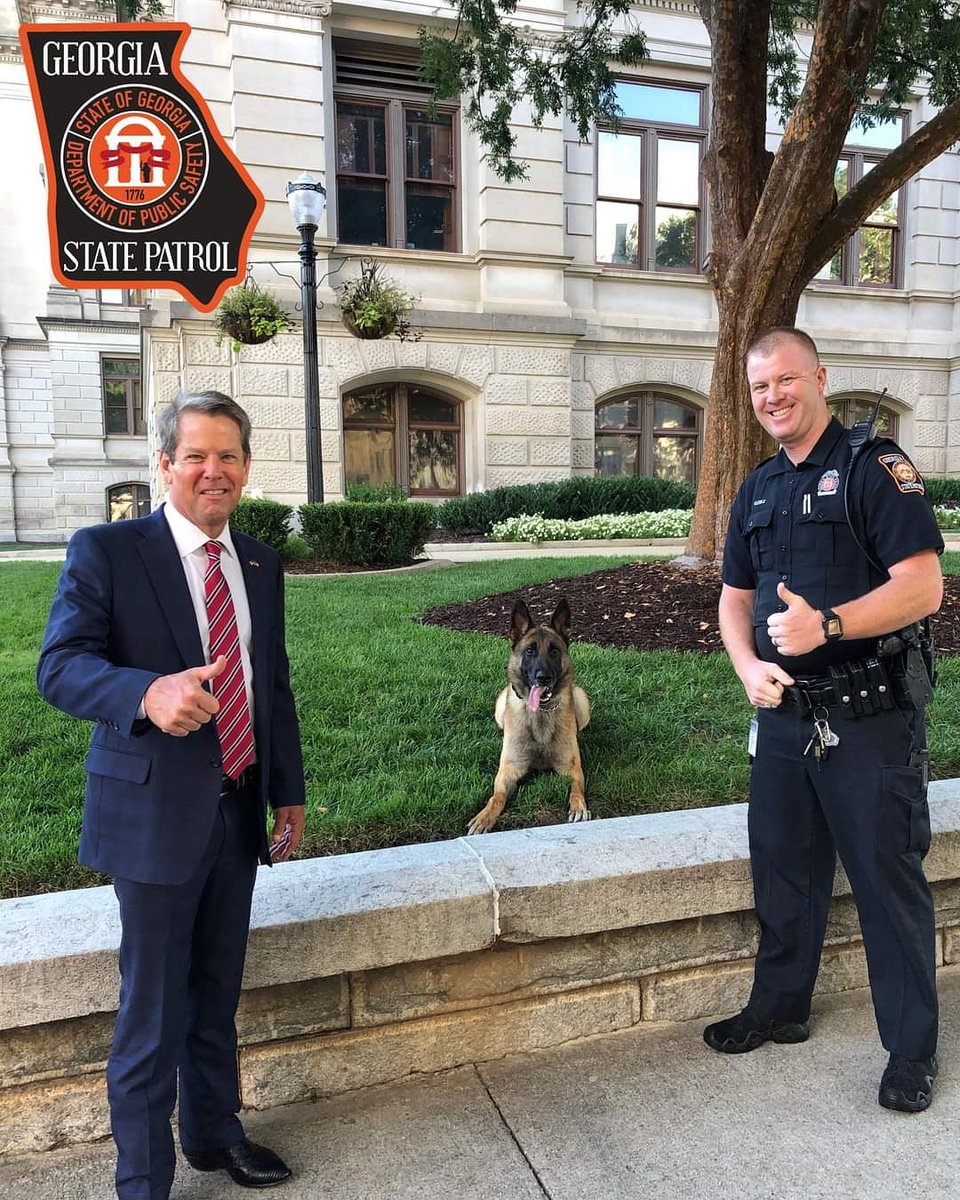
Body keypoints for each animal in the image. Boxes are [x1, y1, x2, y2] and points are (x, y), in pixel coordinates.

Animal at [468, 597, 588, 835]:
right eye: (530, 651)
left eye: (554, 651)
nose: (543, 677)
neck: (540, 713)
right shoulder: (509, 771)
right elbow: (497, 797)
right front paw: (484, 816)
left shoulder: (572, 769)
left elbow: (576, 789)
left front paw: (579, 806)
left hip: (581, 699)